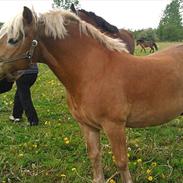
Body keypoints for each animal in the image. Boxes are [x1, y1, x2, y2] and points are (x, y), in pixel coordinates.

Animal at [0, 6, 183, 183]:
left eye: (13, 40)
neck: (93, 71)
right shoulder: (87, 126)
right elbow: (94, 157)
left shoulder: (114, 126)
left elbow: (121, 163)